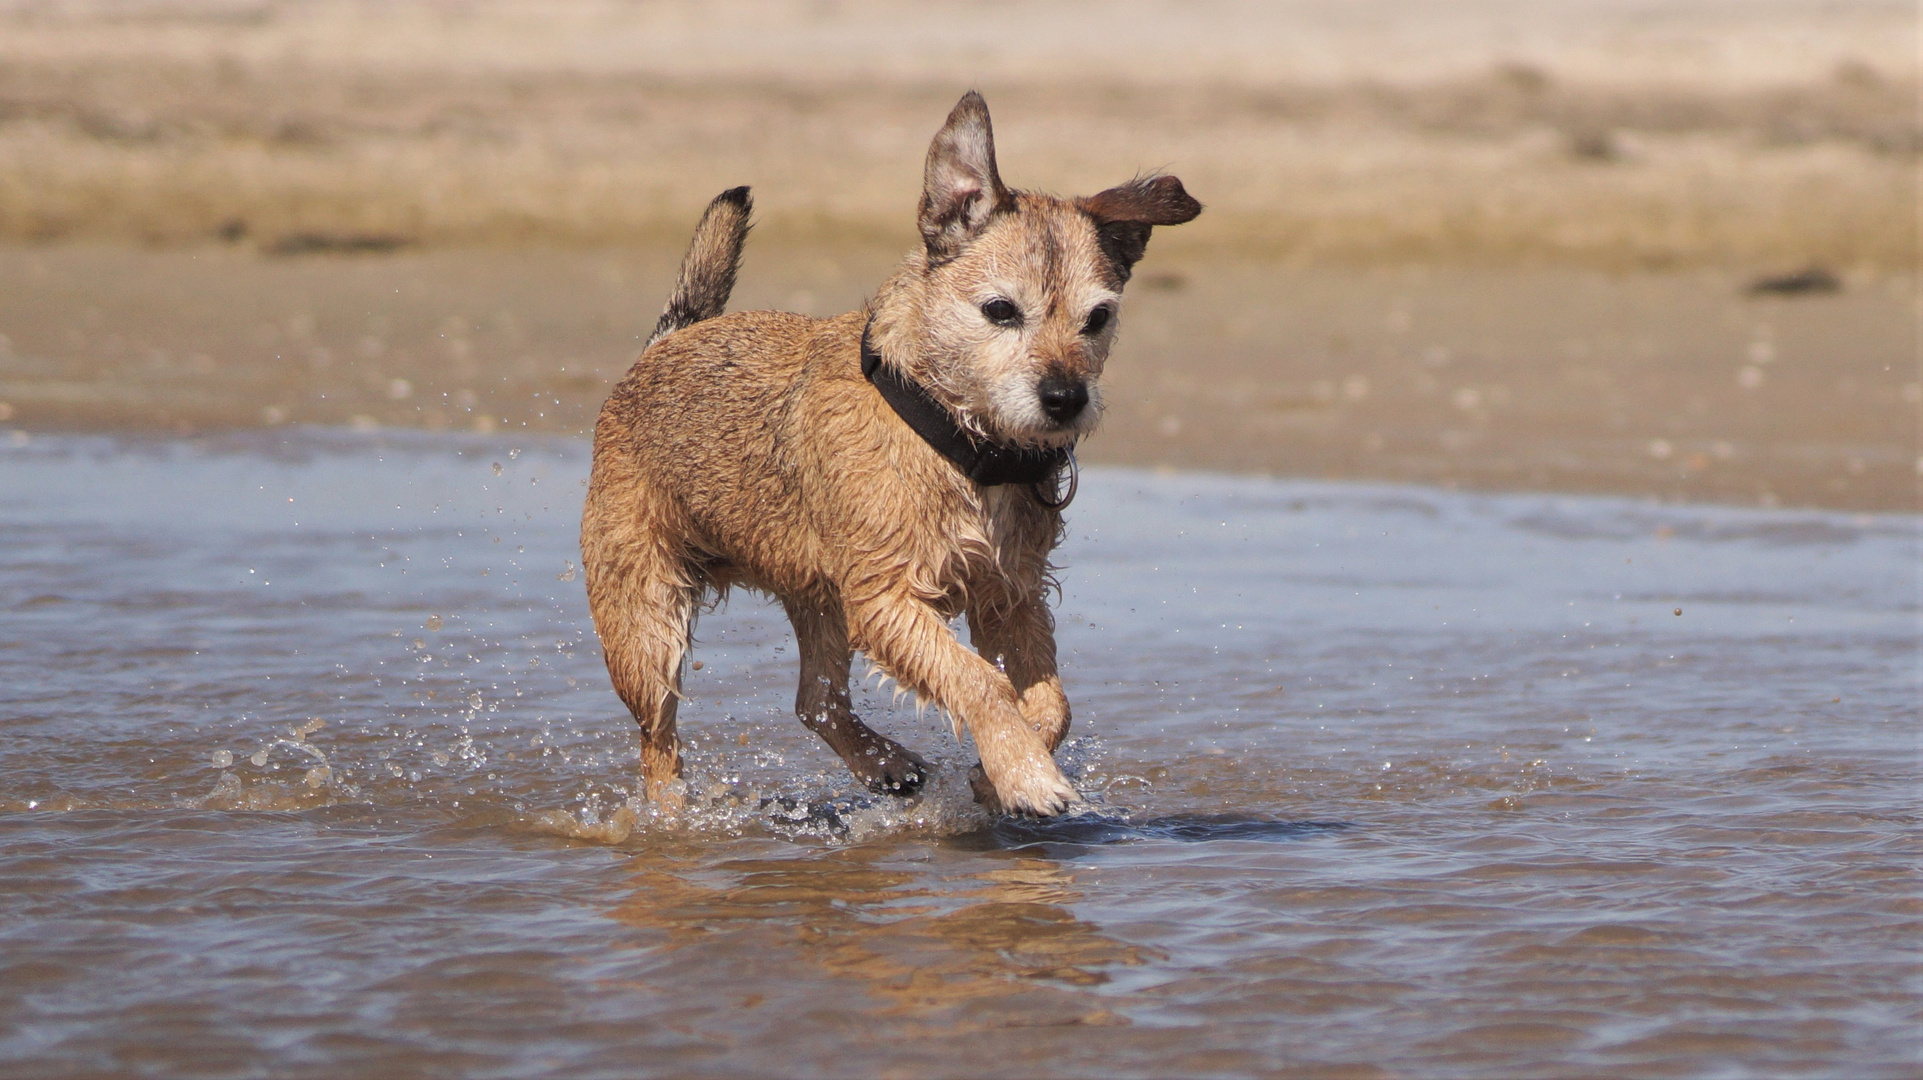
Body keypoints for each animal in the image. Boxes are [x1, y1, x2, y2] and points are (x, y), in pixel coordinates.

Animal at [576, 94, 1192, 814]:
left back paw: (884, 764)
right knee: (658, 741)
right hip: (647, 622)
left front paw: (996, 771)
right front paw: (1027, 775)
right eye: (1000, 310)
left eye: (1098, 318)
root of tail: (661, 346)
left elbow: (1050, 704)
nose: (1065, 398)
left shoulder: (1009, 595)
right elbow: (979, 682)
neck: (958, 442)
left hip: (818, 598)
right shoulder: (887, 600)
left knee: (814, 700)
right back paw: (671, 819)